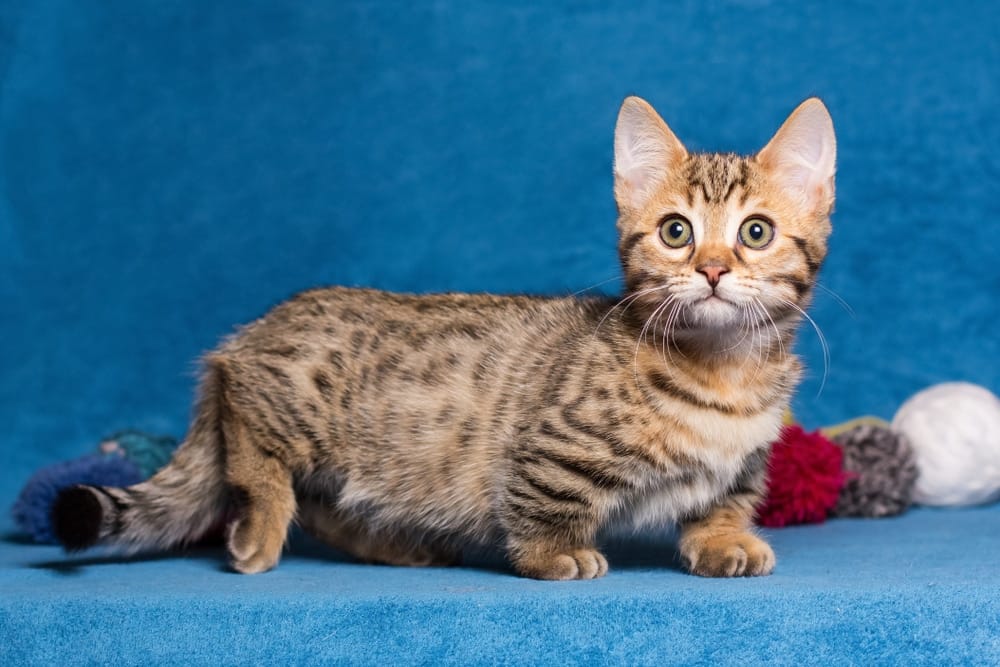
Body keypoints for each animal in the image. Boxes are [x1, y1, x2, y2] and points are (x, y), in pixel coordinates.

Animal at [54, 96, 836, 580]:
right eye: (676, 231)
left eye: (755, 233)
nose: (712, 268)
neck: (724, 372)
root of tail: (246, 335)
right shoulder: (550, 448)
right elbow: (544, 503)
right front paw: (554, 554)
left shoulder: (741, 466)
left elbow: (721, 502)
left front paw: (724, 542)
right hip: (287, 402)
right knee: (257, 447)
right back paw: (260, 525)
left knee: (328, 506)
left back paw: (396, 546)